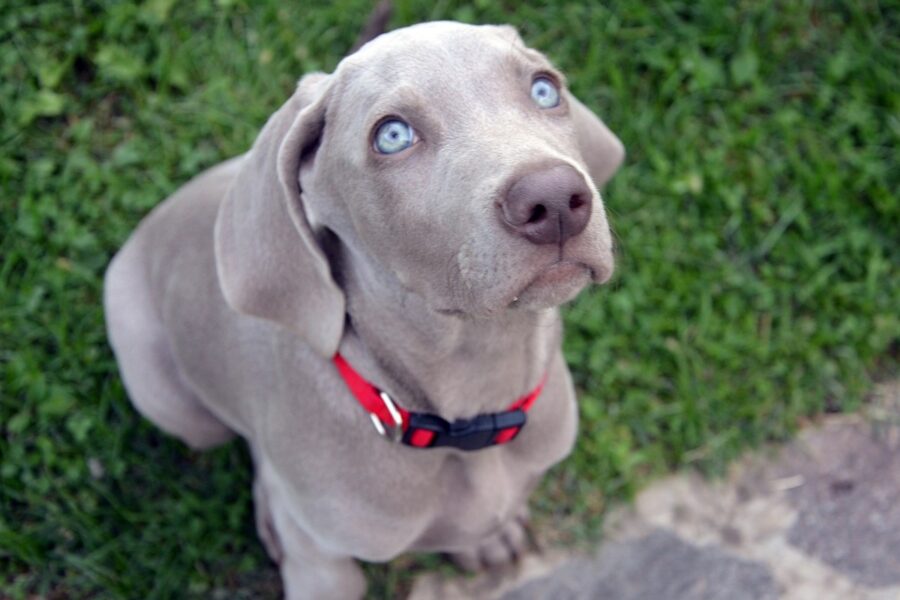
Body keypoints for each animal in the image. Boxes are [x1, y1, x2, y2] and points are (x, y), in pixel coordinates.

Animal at [105, 21, 624, 596]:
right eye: (392, 136)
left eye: (544, 89)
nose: (553, 201)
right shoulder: (324, 569)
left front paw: (486, 538)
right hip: (175, 404)